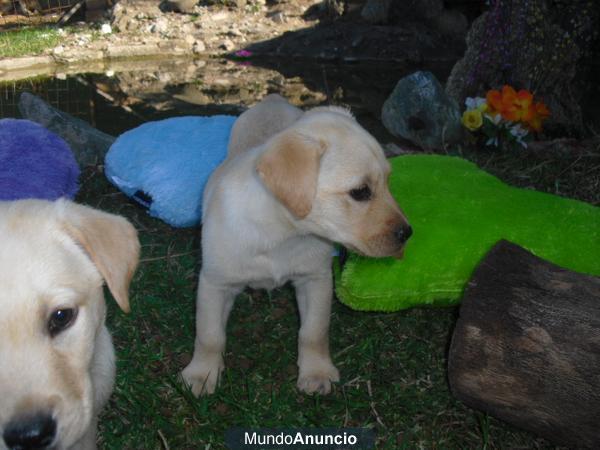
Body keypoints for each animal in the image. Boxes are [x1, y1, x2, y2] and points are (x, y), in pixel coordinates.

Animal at [180, 94, 410, 394]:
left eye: (388, 182)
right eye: (360, 192)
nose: (407, 233)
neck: (284, 233)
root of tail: (272, 98)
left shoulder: (316, 280)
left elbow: (313, 331)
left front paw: (316, 372)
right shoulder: (214, 283)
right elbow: (209, 335)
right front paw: (202, 374)